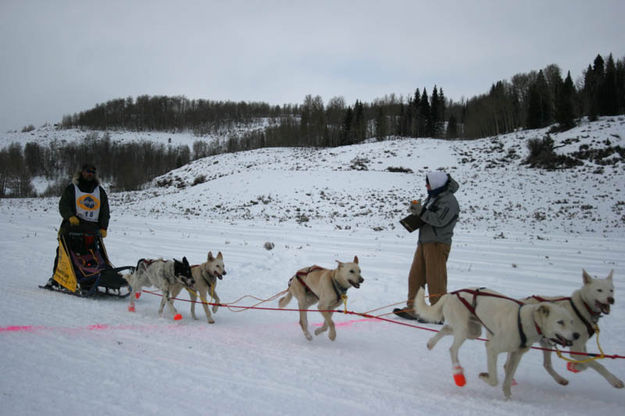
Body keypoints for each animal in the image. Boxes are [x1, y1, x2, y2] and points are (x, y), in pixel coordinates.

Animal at [414, 286, 580, 400]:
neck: (525, 320)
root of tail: (451, 294)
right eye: (560, 322)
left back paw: (431, 343)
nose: (577, 335)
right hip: (463, 329)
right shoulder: (492, 348)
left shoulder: (516, 355)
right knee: (452, 349)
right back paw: (458, 374)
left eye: (572, 321)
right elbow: (494, 379)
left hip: (472, 331)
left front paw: (508, 398)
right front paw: (484, 376)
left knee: (446, 328)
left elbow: (507, 380)